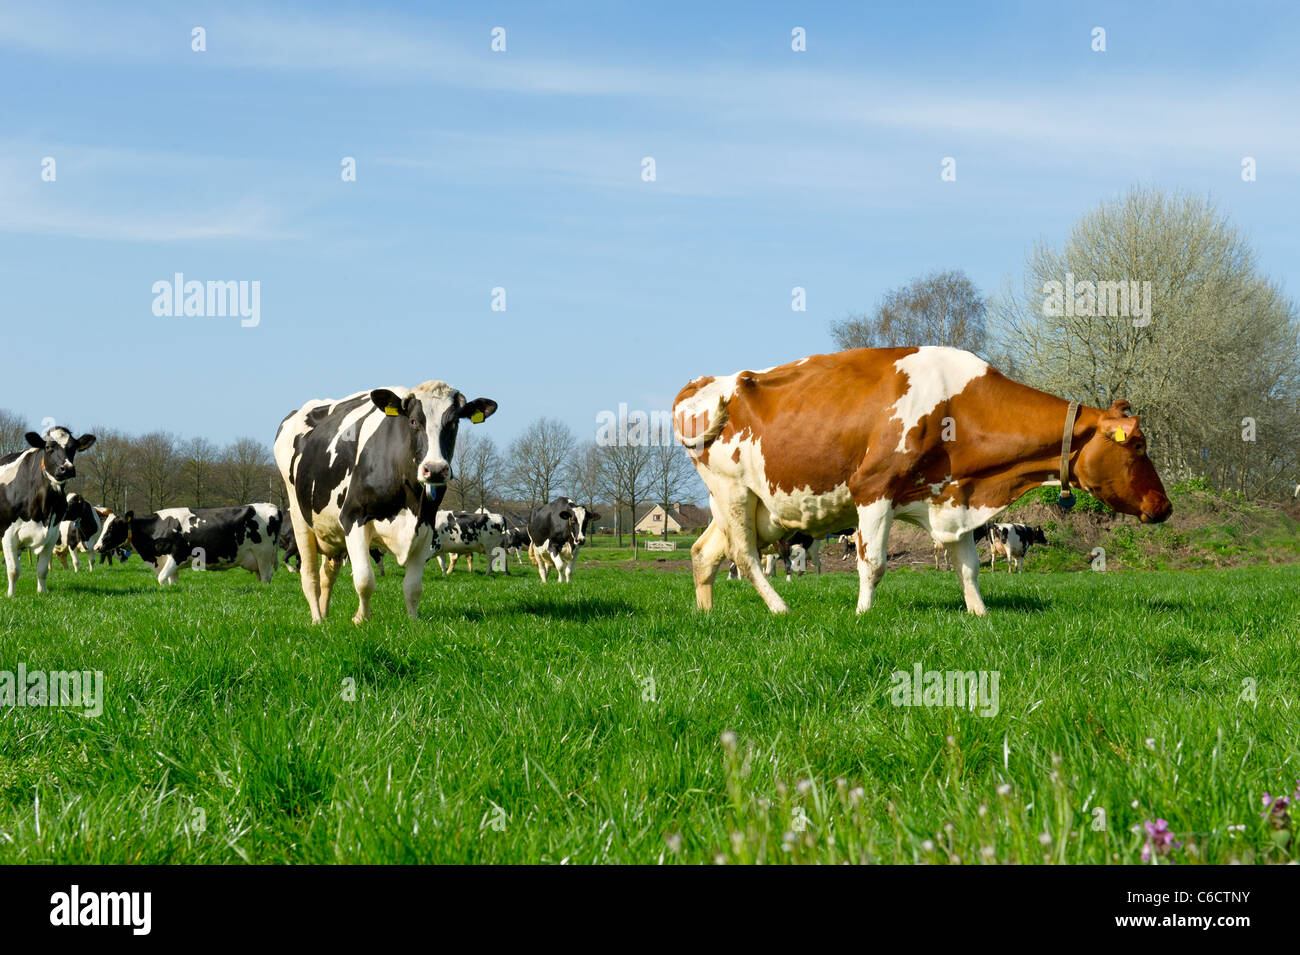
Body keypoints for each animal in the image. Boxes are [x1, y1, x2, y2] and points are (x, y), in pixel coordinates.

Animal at [0, 427, 96, 597]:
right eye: (48, 447)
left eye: (73, 448)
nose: (67, 469)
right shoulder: (8, 533)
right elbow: (13, 570)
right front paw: (10, 595)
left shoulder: (52, 534)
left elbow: (42, 569)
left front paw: (42, 592)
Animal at [94, 504, 282, 585]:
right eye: (104, 525)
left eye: (112, 527)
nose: (96, 547)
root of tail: (272, 506)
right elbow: (170, 580)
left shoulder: (178, 555)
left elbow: (161, 577)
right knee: (262, 577)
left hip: (263, 554)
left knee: (266, 577)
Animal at [274, 381, 497, 622]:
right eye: (413, 421)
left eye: (454, 422)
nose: (436, 469)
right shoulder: (353, 517)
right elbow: (364, 579)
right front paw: (361, 618)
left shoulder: (426, 525)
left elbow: (413, 586)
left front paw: (412, 621)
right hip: (299, 516)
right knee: (310, 575)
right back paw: (317, 619)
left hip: (330, 529)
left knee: (328, 574)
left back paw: (325, 614)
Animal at [673, 346, 1171, 616]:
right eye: (1138, 445)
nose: (1164, 506)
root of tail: (705, 382)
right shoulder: (872, 490)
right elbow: (873, 564)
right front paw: (862, 615)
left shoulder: (955, 496)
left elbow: (969, 567)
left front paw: (980, 614)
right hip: (733, 492)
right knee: (745, 556)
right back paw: (780, 609)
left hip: (755, 507)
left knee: (704, 553)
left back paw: (706, 614)